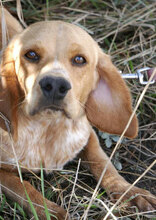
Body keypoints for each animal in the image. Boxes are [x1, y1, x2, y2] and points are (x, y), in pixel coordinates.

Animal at [0, 7, 155, 219]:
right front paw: (52, 212)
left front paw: (130, 193)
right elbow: (24, 189)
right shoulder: (2, 172)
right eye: (31, 54)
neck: (49, 127)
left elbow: (104, 165)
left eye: (80, 59)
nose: (55, 85)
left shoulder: (88, 135)